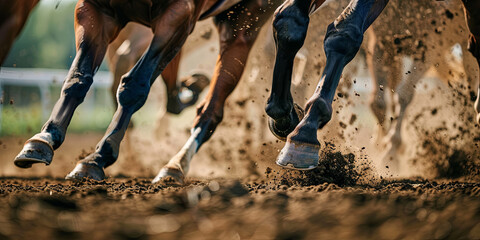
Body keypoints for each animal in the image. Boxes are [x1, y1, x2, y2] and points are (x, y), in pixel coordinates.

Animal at [15, 0, 282, 184]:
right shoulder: (96, 9)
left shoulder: (178, 13)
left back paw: (175, 164)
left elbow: (135, 85)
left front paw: (98, 157)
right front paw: (43, 139)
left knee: (212, 108)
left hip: (243, 21)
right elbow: (77, 78)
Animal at [266, 0, 480, 171]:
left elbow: (403, 95)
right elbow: (290, 19)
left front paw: (391, 151)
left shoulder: (431, 41)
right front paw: (287, 118)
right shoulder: (382, 42)